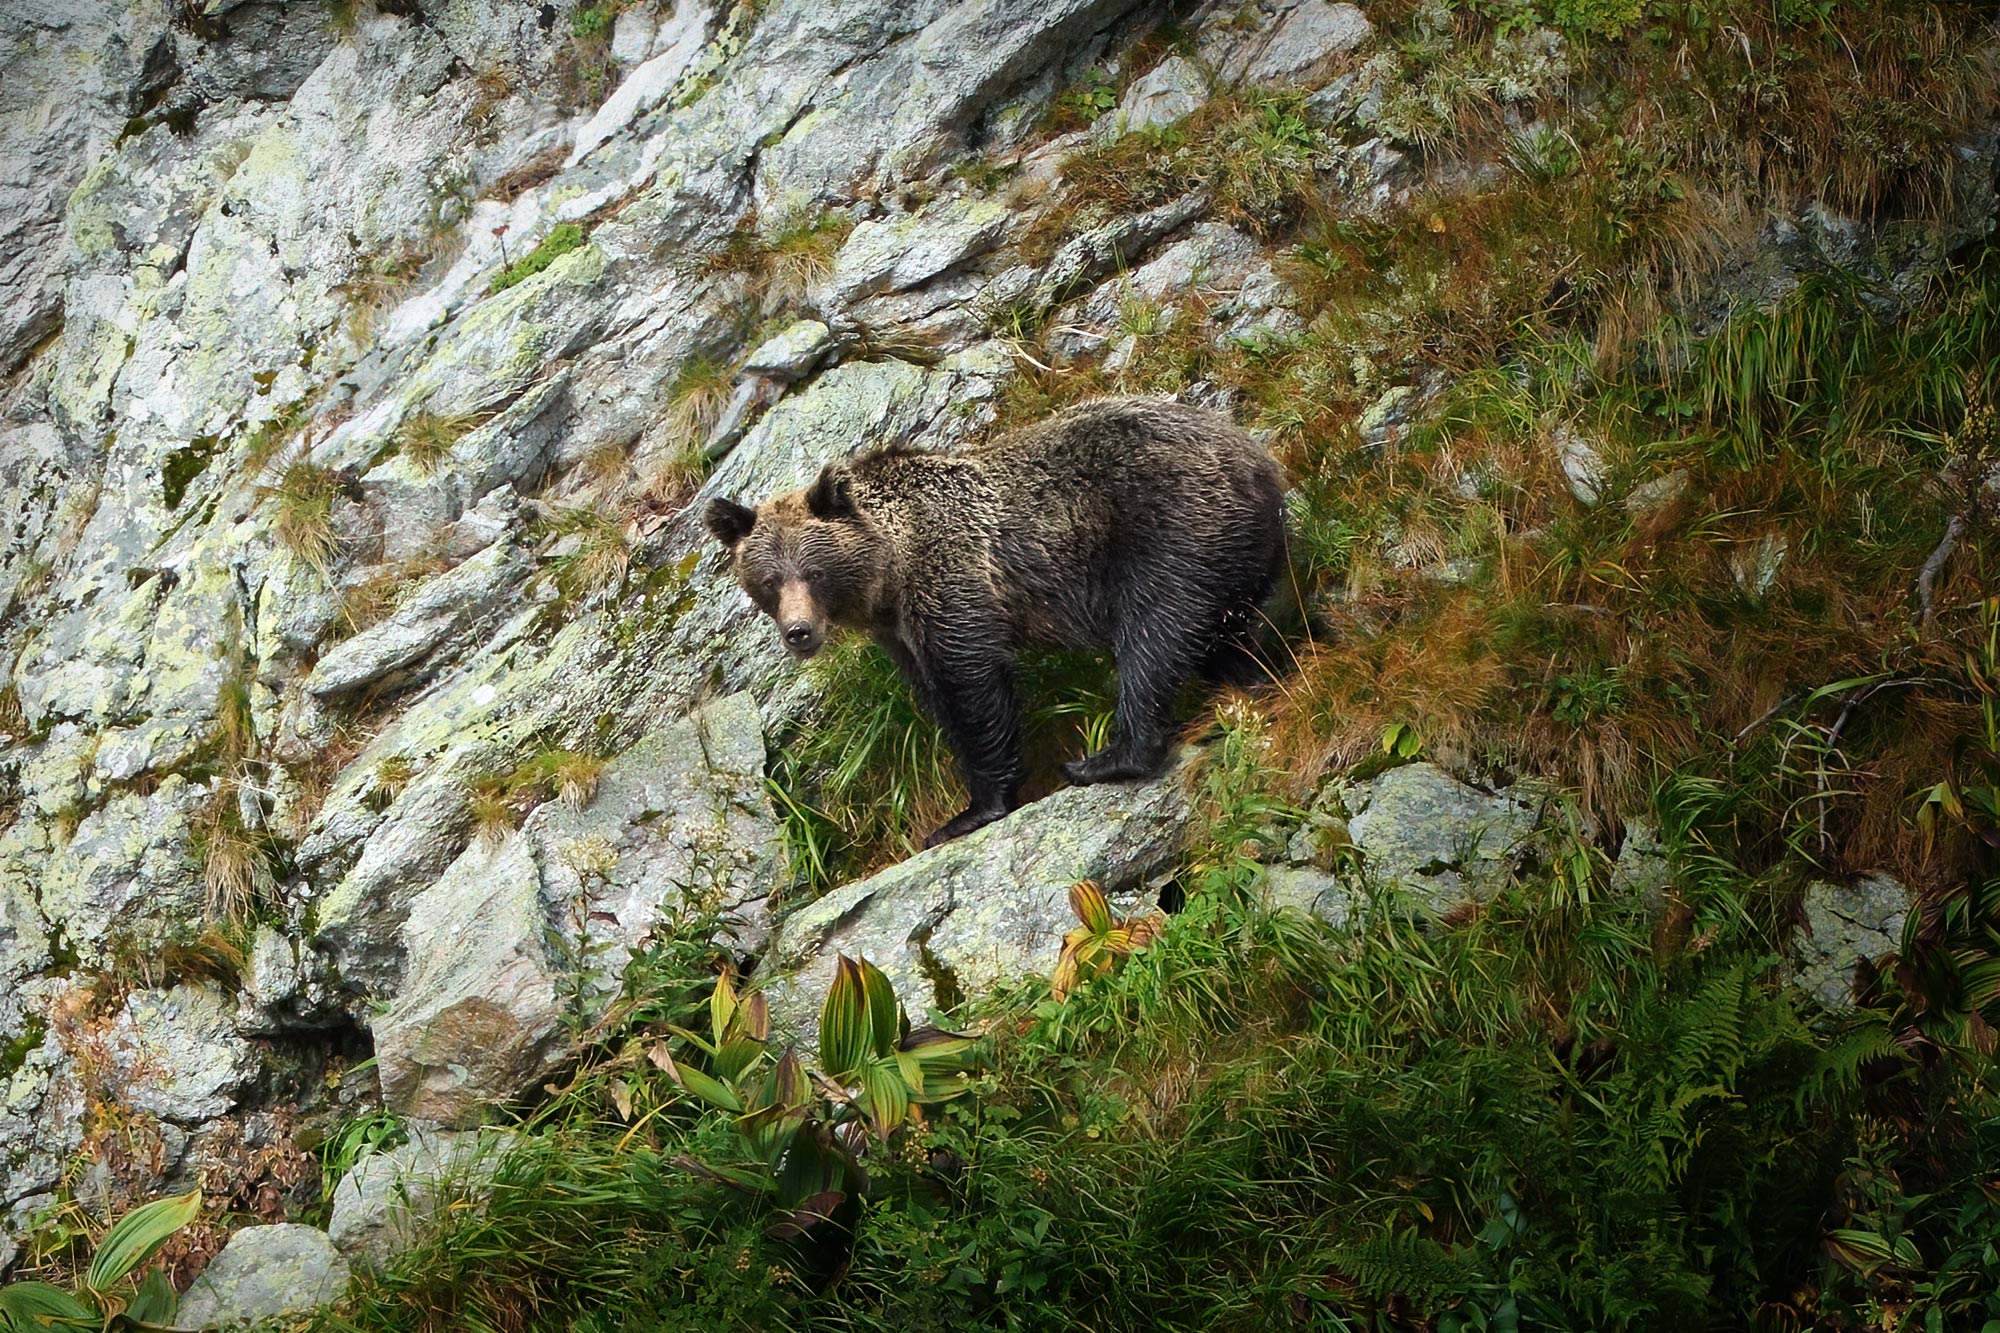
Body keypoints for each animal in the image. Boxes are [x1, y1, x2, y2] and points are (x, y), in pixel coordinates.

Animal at [712, 392, 1288, 840]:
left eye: (813, 571)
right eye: (768, 581)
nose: (798, 631)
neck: (888, 575)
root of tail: (1257, 458)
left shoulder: (950, 577)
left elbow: (972, 685)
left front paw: (970, 811)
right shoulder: (899, 633)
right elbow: (935, 694)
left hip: (1169, 526)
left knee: (1155, 633)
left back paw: (1109, 755)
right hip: (1232, 551)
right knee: (1215, 632)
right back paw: (1252, 680)